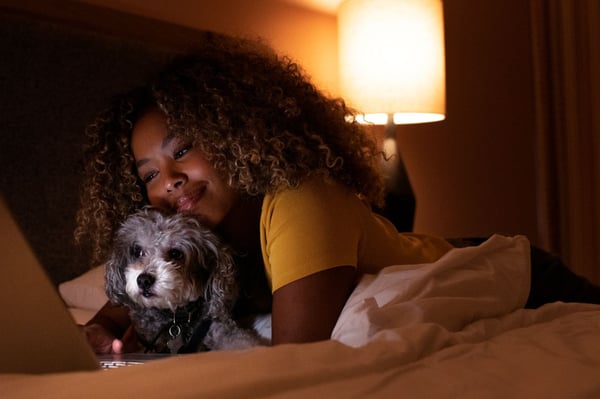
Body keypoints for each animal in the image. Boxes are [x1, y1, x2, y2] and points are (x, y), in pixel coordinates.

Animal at [105, 208, 268, 354]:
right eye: (137, 251)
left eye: (176, 253)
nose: (144, 280)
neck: (177, 320)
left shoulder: (217, 328)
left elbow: (239, 341)